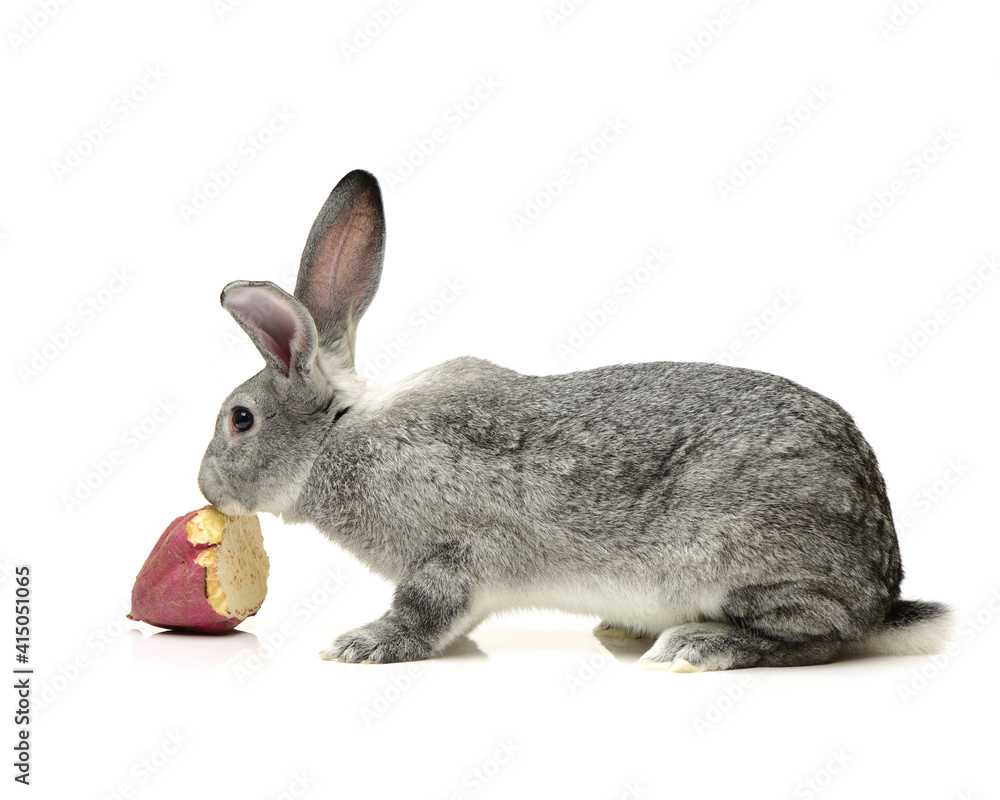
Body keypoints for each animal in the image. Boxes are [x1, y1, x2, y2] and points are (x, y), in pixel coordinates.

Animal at [198, 169, 953, 671]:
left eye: (240, 419)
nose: (207, 487)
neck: (339, 434)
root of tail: (882, 588)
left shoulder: (450, 554)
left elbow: (424, 611)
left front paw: (360, 645)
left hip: (756, 560)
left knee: (818, 636)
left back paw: (695, 645)